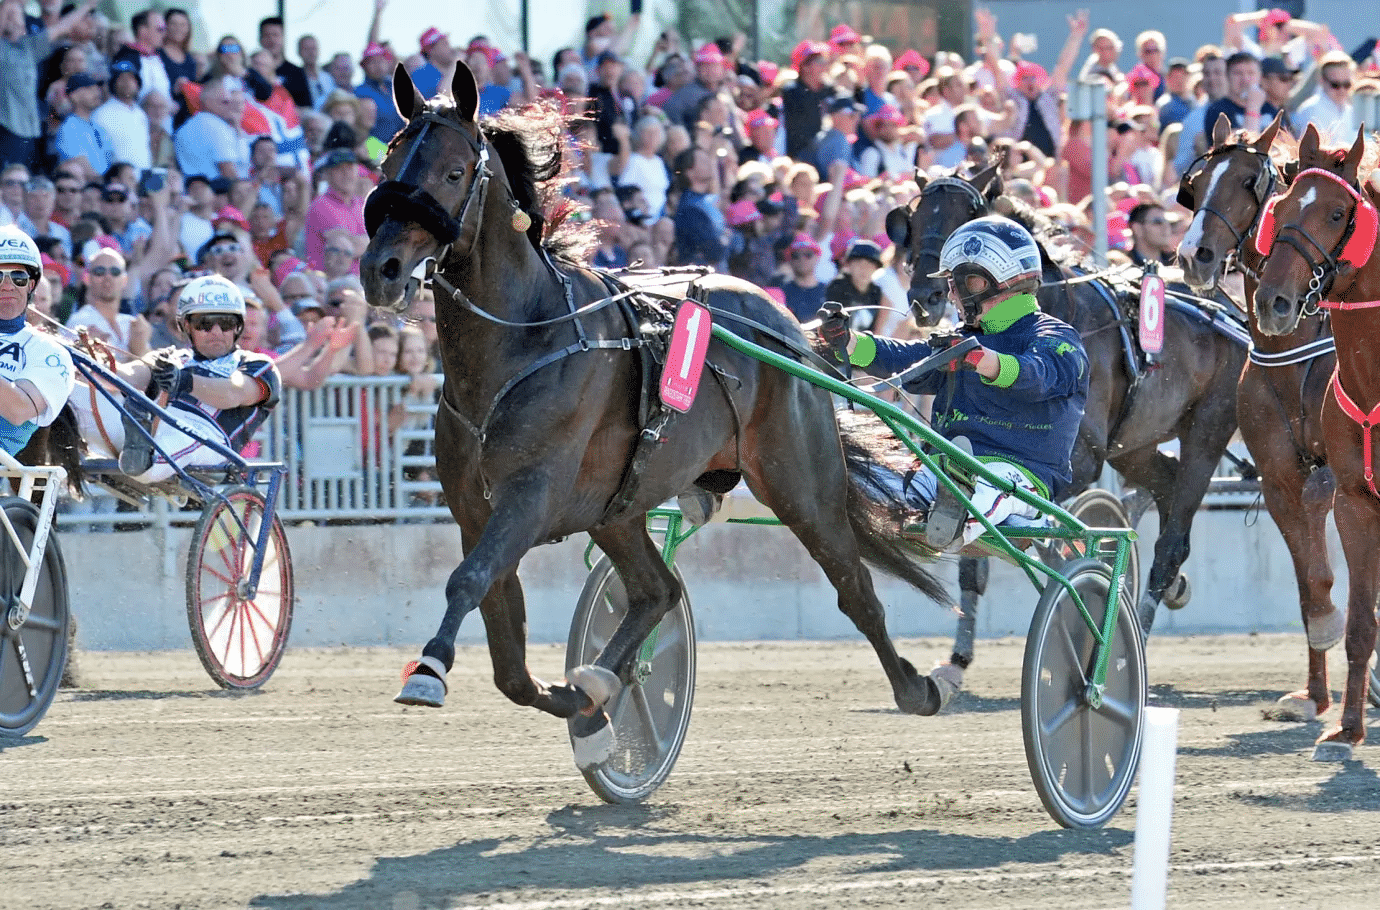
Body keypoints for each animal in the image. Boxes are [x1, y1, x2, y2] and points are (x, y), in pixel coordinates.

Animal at [888, 165, 1247, 640]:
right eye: (912, 219)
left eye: (966, 213)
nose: (924, 298)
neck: (1058, 309)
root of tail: (1228, 307)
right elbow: (979, 559)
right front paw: (958, 656)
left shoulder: (1084, 458)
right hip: (1134, 444)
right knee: (1166, 483)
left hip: (1208, 427)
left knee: (1173, 539)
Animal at [1175, 111, 1346, 718]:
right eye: (1196, 184)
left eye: (1250, 183)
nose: (1194, 255)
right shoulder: (1282, 479)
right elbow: (1310, 583)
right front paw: (1313, 695)